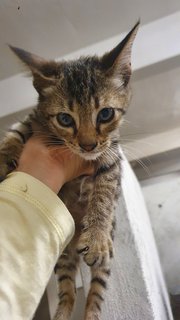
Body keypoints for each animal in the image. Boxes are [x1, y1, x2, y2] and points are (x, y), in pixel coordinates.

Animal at [0, 22, 139, 320]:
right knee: (68, 292)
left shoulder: (112, 152)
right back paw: (62, 312)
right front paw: (3, 156)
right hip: (62, 259)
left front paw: (96, 234)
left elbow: (106, 188)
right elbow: (15, 132)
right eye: (65, 119)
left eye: (106, 114)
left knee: (95, 295)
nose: (87, 145)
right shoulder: (33, 120)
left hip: (105, 263)